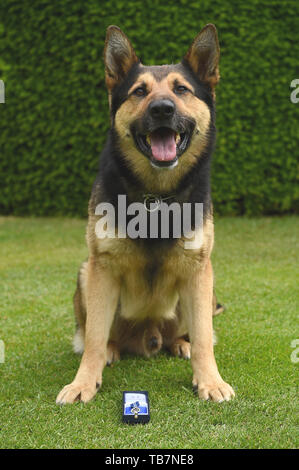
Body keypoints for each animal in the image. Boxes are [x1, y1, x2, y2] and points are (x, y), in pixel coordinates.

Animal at [55, 23, 234, 404]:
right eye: (139, 91)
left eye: (181, 89)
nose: (163, 109)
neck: (156, 196)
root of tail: (150, 336)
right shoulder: (103, 268)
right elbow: (93, 338)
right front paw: (83, 383)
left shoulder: (198, 270)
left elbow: (204, 339)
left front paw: (209, 381)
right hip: (86, 273)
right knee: (100, 334)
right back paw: (112, 349)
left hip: (206, 285)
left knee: (191, 333)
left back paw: (180, 343)